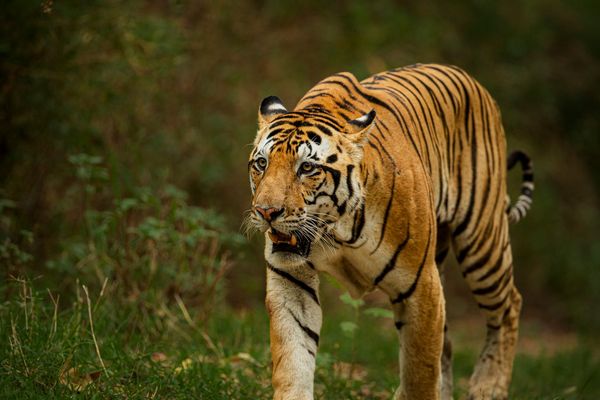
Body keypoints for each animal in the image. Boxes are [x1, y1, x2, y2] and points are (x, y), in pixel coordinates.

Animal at [246, 64, 536, 398]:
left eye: (306, 168)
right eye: (261, 163)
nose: (266, 212)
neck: (337, 230)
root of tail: (471, 80)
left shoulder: (421, 285)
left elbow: (420, 372)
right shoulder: (290, 280)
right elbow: (293, 358)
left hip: (482, 242)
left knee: (509, 304)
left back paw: (488, 387)